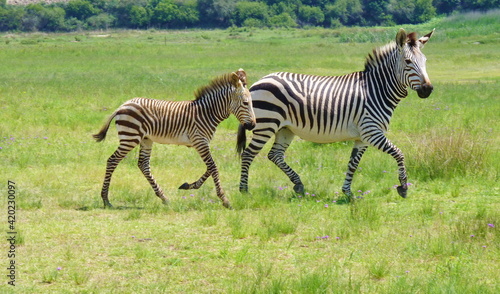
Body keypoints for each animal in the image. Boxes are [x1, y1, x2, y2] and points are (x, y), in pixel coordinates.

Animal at [94, 69, 256, 209]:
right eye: (245, 103)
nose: (253, 125)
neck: (207, 113)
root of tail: (122, 105)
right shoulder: (200, 141)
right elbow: (213, 167)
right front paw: (225, 200)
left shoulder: (202, 142)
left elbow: (210, 168)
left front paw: (188, 185)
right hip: (130, 137)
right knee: (112, 160)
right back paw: (106, 199)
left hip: (145, 139)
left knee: (143, 164)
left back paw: (164, 197)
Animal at [237, 29, 434, 200]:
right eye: (408, 61)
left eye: (425, 61)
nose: (428, 89)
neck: (377, 90)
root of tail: (258, 82)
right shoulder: (371, 132)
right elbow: (399, 153)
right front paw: (403, 187)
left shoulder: (362, 137)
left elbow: (353, 163)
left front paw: (347, 192)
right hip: (266, 124)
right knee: (248, 154)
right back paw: (244, 190)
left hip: (285, 128)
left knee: (275, 155)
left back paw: (298, 184)